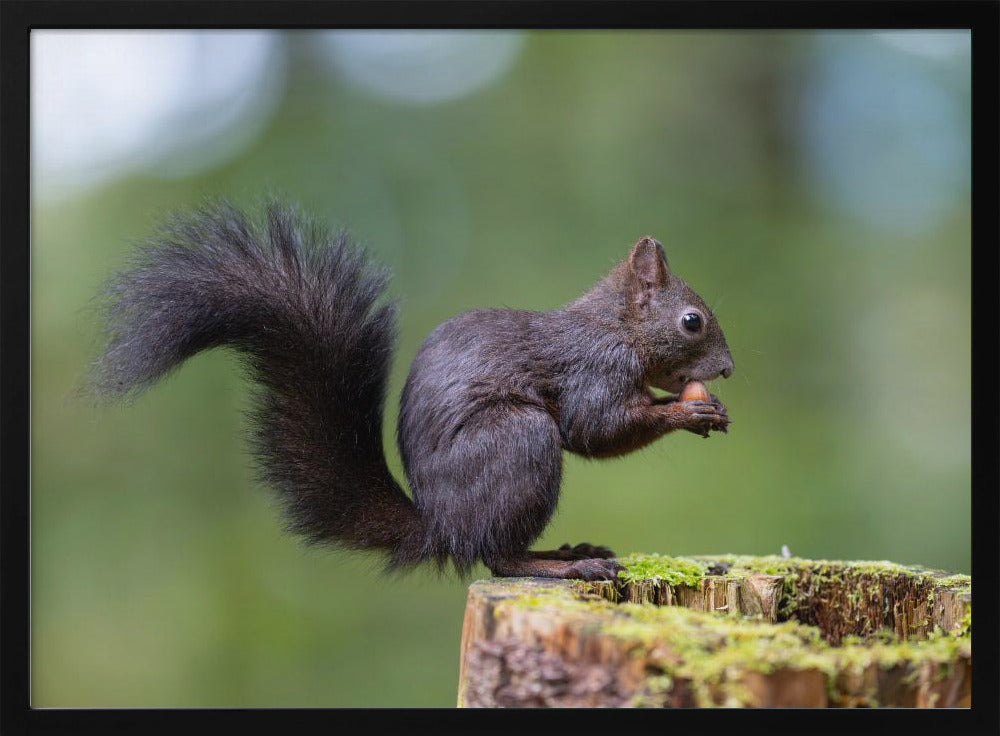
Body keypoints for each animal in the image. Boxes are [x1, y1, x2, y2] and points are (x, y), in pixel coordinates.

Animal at [92, 201, 733, 581]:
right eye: (692, 322)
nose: (727, 370)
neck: (614, 327)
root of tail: (440, 526)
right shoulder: (594, 369)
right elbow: (595, 430)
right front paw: (686, 412)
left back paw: (569, 553)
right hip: (518, 443)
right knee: (496, 557)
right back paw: (559, 566)